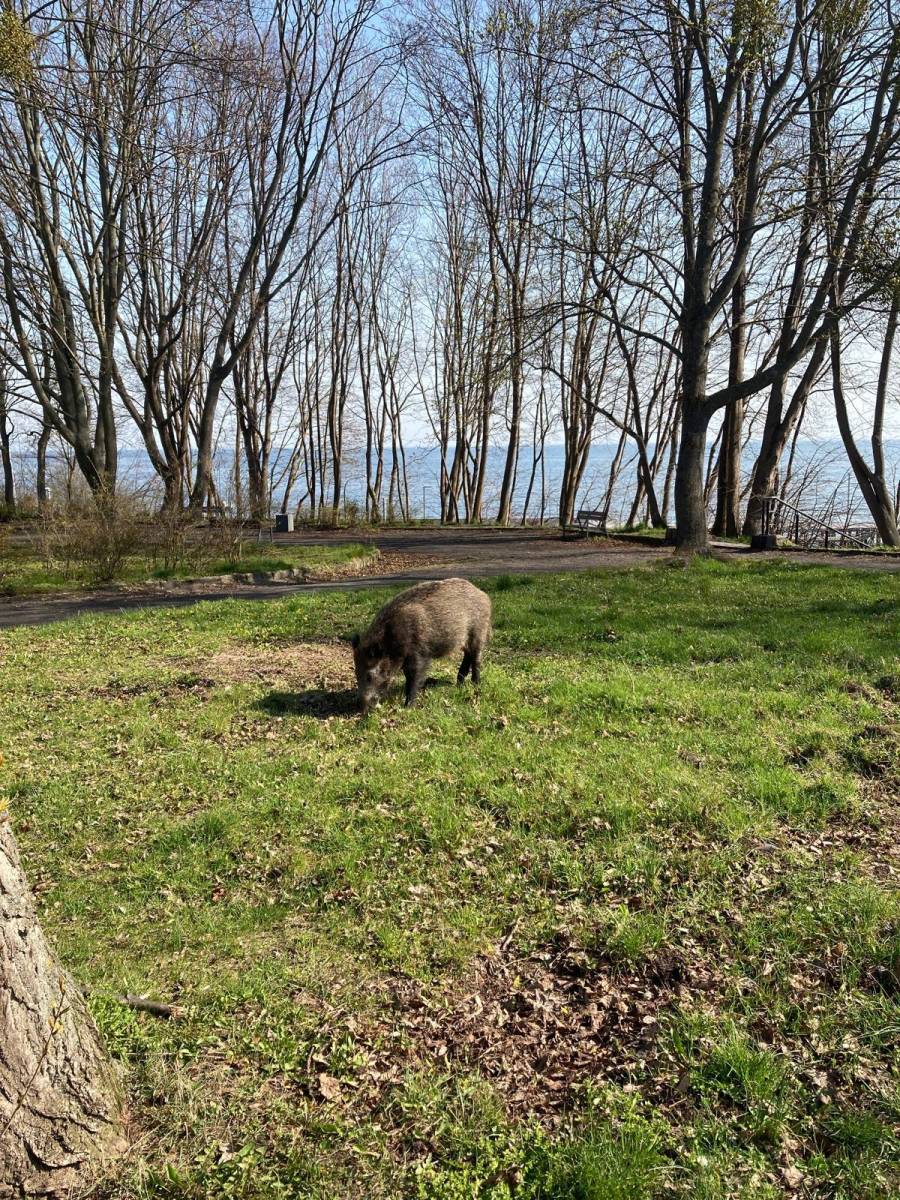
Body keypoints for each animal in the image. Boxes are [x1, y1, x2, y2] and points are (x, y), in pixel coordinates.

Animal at [350, 577, 492, 712]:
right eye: (356, 672)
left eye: (369, 676)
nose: (360, 707)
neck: (392, 641)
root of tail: (483, 595)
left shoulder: (418, 653)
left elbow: (413, 678)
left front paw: (408, 707)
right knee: (467, 655)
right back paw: (459, 683)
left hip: (479, 631)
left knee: (476, 658)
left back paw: (476, 684)